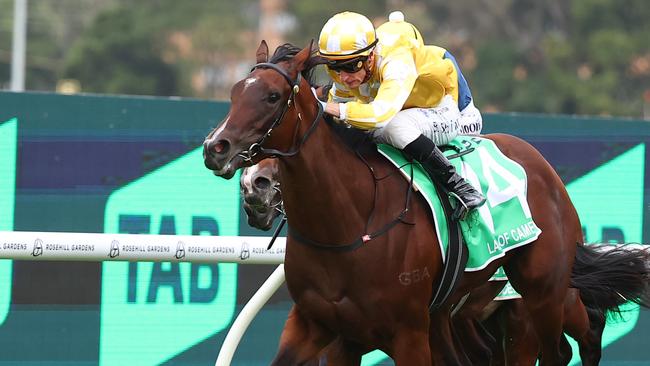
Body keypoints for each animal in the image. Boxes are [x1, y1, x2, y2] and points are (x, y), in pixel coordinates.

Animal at [202, 41, 648, 364]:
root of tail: (544, 167)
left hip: (541, 290)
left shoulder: (408, 333)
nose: (215, 148)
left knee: (569, 342)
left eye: (273, 96)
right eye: (234, 93)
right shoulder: (321, 328)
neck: (349, 225)